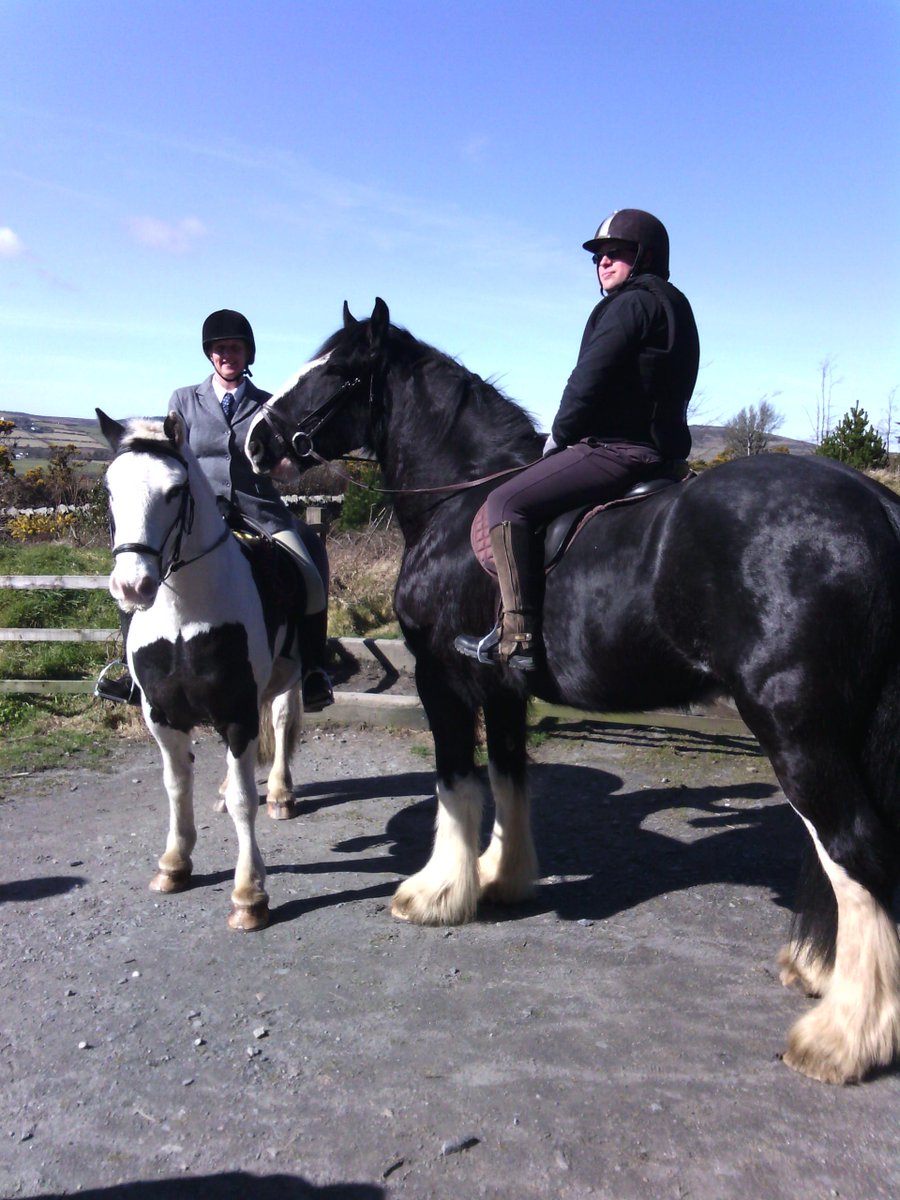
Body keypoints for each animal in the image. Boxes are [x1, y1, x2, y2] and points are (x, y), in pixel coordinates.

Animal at [98, 408, 307, 931]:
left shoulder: (236, 713)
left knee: (279, 721)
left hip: (290, 677)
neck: (182, 613)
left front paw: (249, 895)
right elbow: (176, 786)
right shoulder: (161, 715)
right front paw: (174, 864)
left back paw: (280, 793)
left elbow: (244, 801)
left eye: (175, 490)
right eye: (109, 488)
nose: (133, 586)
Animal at [244, 298, 900, 1084]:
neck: (460, 498)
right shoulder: (503, 687)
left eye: (339, 371)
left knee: (855, 847)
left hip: (796, 728)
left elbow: (455, 783)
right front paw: (501, 878)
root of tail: (876, 507)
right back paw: (820, 975)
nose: (254, 439)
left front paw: (436, 894)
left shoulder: (442, 679)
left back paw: (843, 1037)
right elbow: (509, 778)